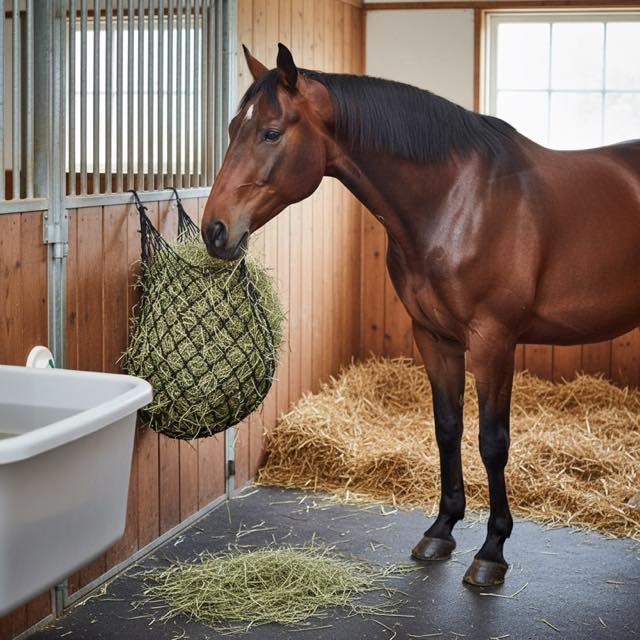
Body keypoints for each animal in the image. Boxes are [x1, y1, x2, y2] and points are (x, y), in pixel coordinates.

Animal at [201, 43, 640, 587]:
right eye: (231, 129)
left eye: (271, 132)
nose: (214, 230)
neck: (459, 201)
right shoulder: (434, 336)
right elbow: (447, 428)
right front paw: (441, 529)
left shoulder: (493, 340)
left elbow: (492, 441)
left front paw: (491, 551)